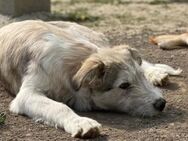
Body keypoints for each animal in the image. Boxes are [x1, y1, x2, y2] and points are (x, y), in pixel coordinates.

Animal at [0, 20, 182, 138]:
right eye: (124, 85)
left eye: (140, 78)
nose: (161, 103)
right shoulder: (27, 94)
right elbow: (59, 106)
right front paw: (81, 123)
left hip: (94, 40)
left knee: (143, 61)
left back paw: (157, 73)